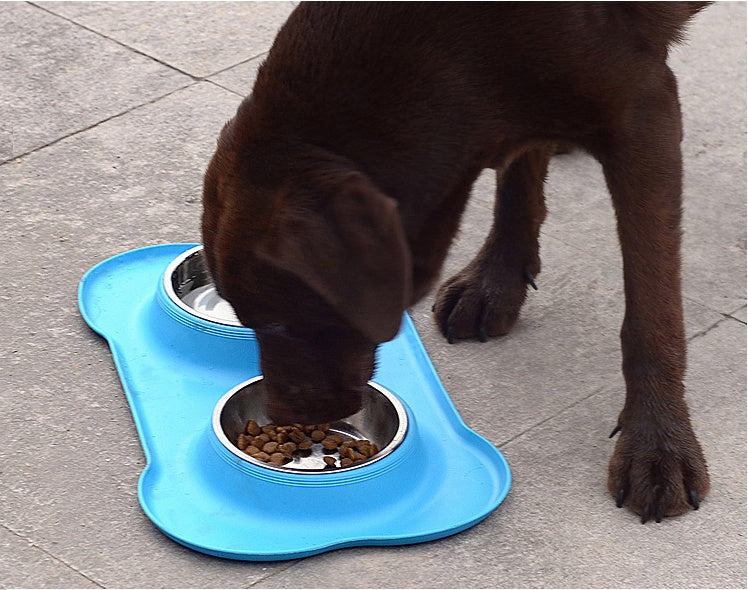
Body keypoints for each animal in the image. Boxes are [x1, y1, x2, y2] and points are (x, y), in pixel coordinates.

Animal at [202, 3, 712, 524]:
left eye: (281, 323)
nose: (285, 419)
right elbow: (519, 173)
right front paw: (495, 284)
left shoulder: (643, 111)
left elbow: (651, 310)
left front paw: (657, 443)